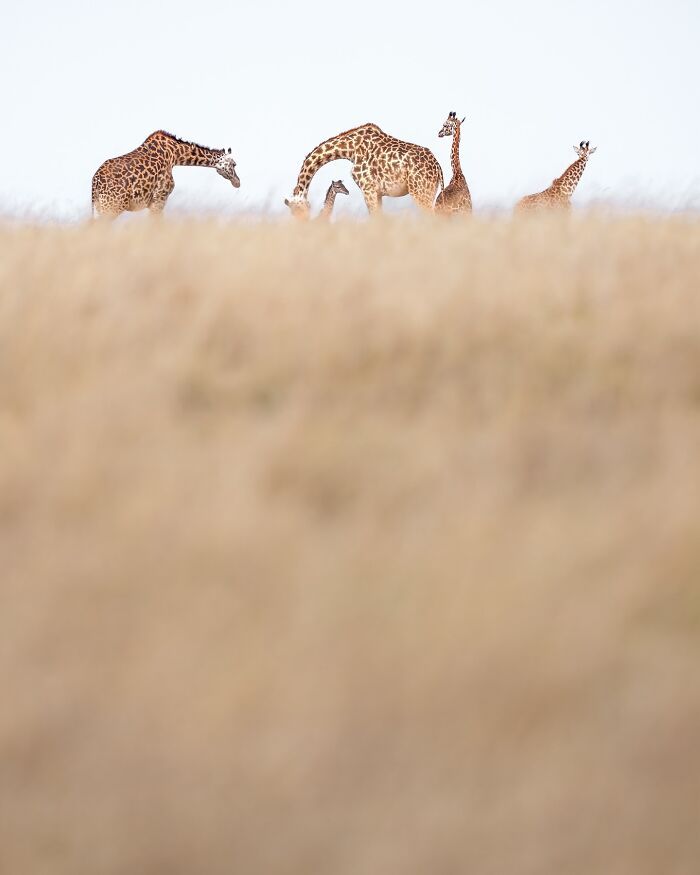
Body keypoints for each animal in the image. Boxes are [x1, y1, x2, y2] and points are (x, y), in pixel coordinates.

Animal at [91, 130, 239, 219]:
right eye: (234, 164)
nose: (237, 182)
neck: (175, 155)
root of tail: (95, 181)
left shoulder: (155, 202)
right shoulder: (160, 198)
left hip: (99, 206)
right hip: (111, 207)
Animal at [282, 123, 440, 219]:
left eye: (297, 211)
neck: (350, 150)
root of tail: (438, 167)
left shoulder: (368, 189)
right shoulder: (377, 193)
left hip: (420, 192)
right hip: (429, 192)